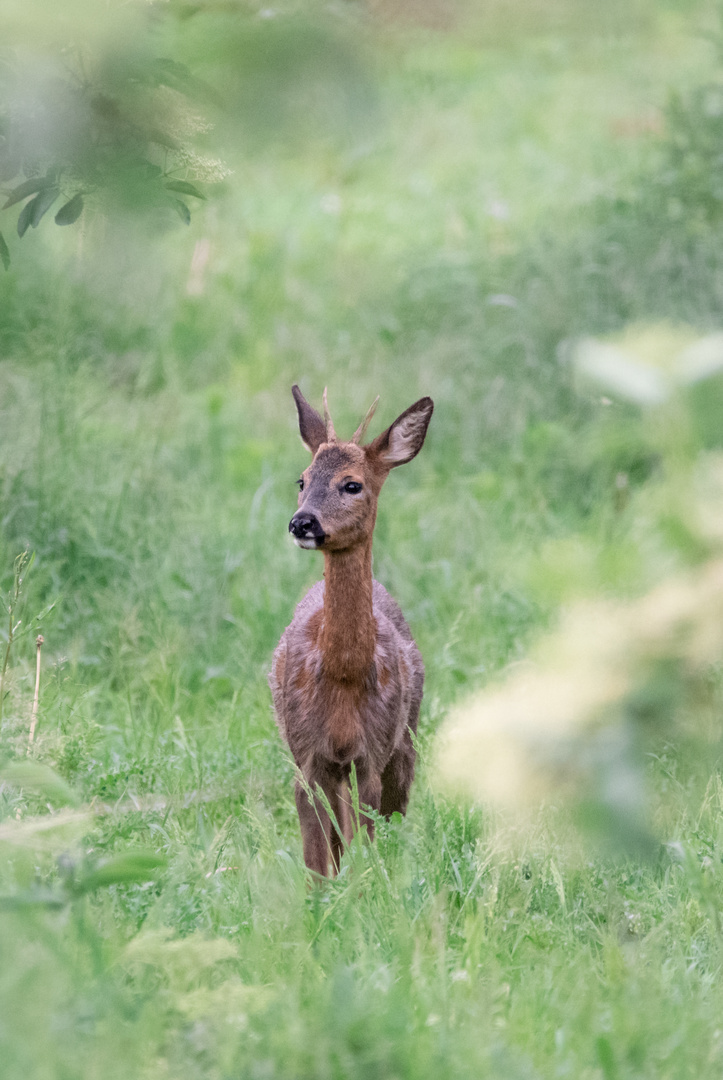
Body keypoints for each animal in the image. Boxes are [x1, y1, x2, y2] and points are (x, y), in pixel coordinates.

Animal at [268, 386, 432, 876]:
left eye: (352, 484)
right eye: (302, 480)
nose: (302, 522)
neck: (343, 676)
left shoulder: (371, 753)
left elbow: (366, 845)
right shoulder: (307, 755)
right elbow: (317, 861)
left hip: (406, 741)